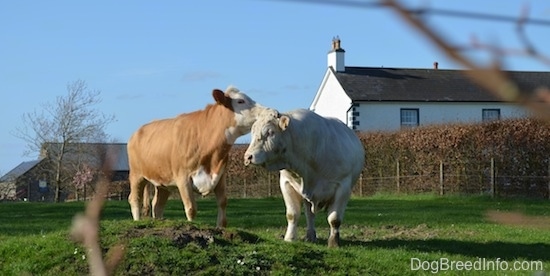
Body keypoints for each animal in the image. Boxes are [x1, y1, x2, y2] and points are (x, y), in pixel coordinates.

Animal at [129, 85, 268, 226]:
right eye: (240, 101)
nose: (266, 111)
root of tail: (137, 132)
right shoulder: (183, 178)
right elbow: (191, 208)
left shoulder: (220, 175)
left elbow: (223, 202)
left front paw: (220, 227)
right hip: (137, 175)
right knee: (135, 199)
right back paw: (137, 220)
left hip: (163, 181)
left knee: (157, 205)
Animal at [244, 108, 364, 248]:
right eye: (252, 132)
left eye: (270, 132)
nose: (248, 157)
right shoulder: (286, 183)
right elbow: (292, 214)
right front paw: (289, 238)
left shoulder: (343, 186)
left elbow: (334, 219)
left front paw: (333, 243)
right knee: (309, 215)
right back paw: (310, 236)